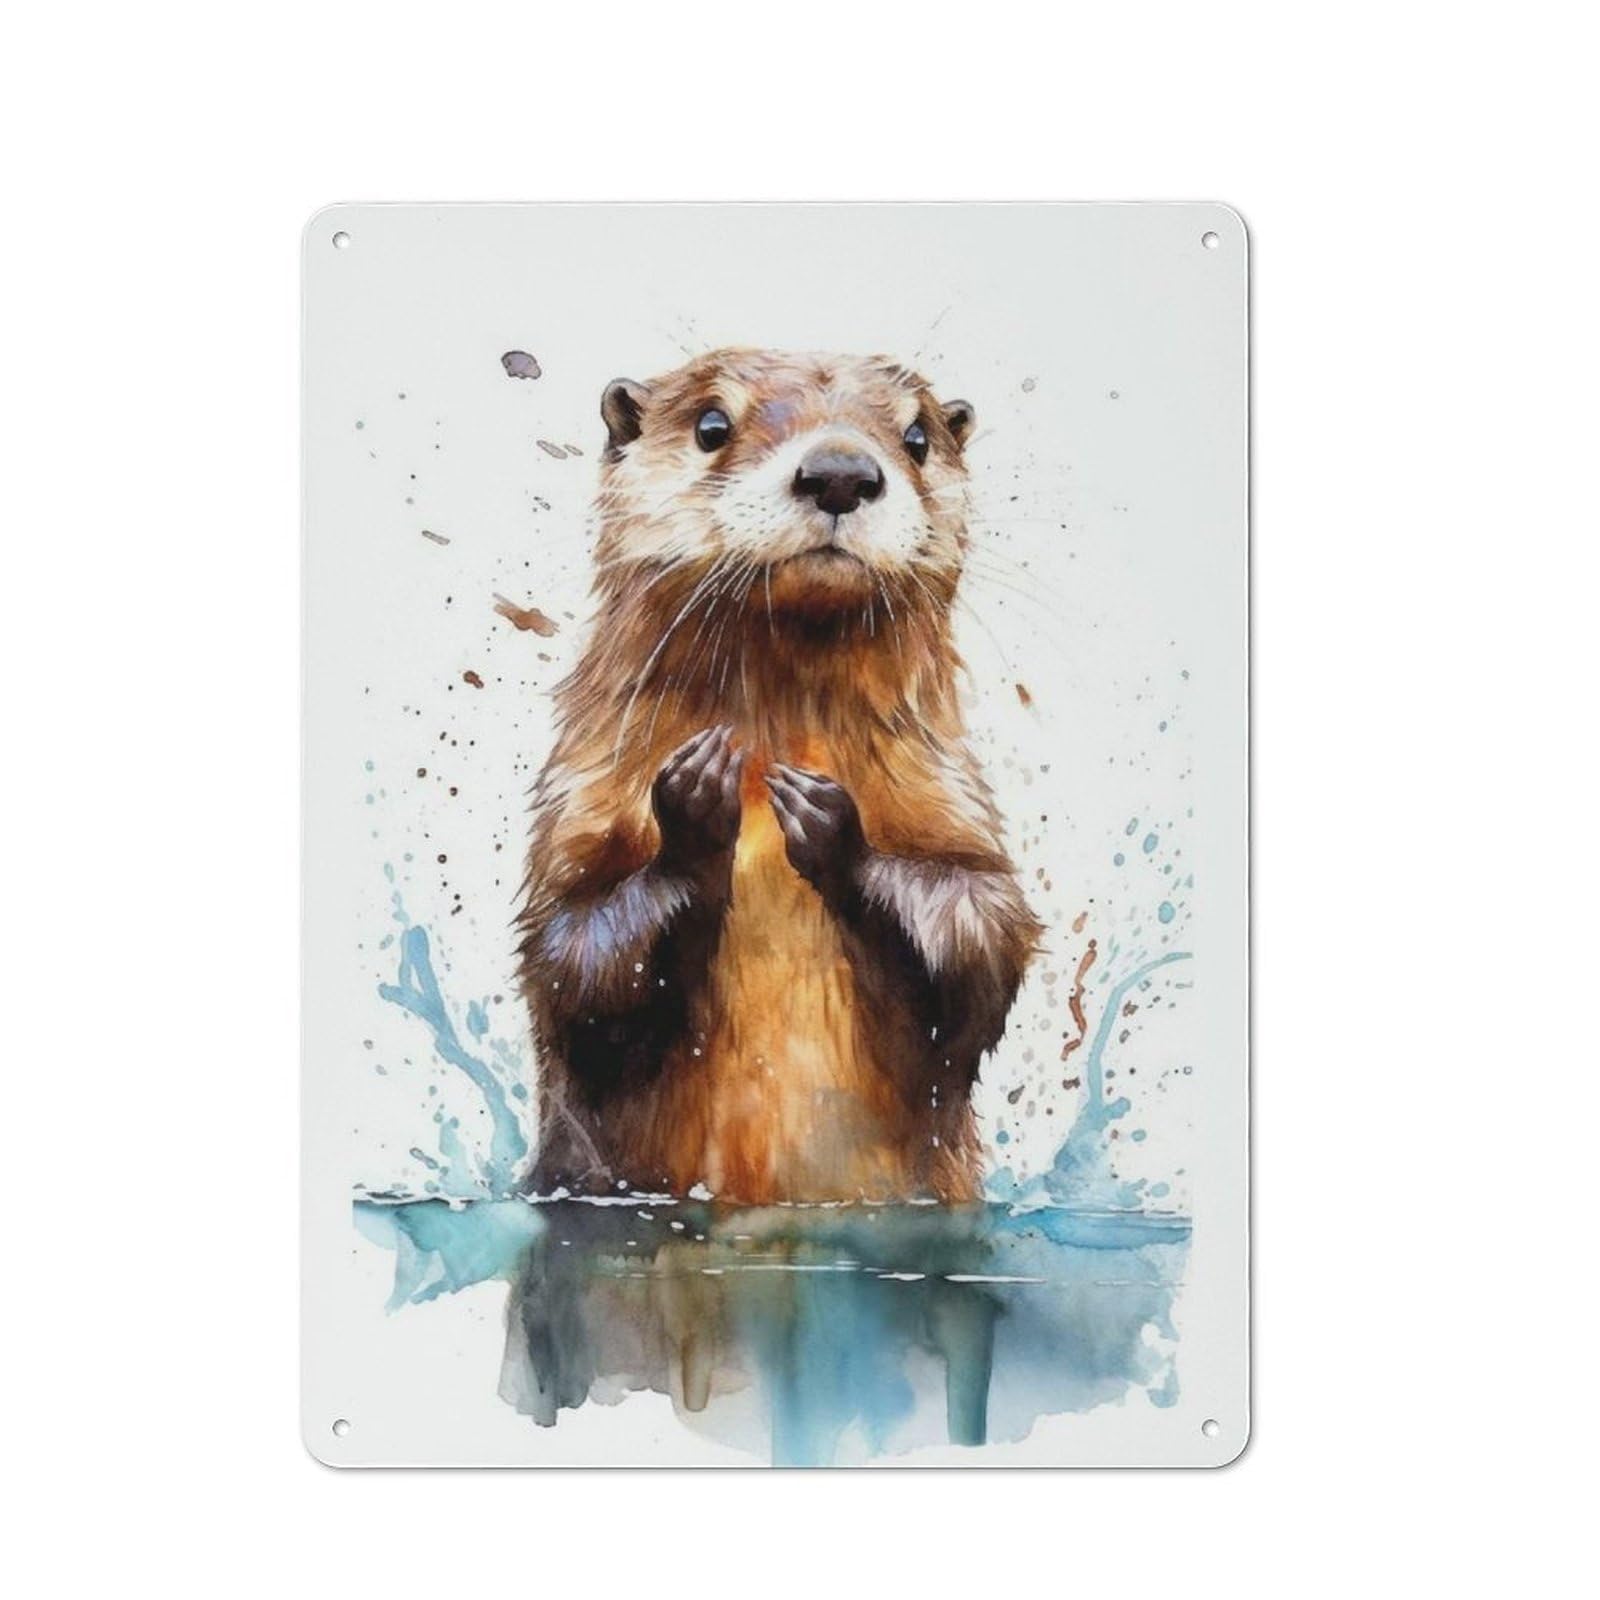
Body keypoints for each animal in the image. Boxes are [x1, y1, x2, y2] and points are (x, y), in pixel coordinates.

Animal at [516, 348, 1040, 1205]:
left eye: (918, 437)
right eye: (711, 425)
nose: (840, 473)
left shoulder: (954, 798)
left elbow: (979, 944)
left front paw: (830, 823)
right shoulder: (574, 807)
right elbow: (576, 962)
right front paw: (696, 807)